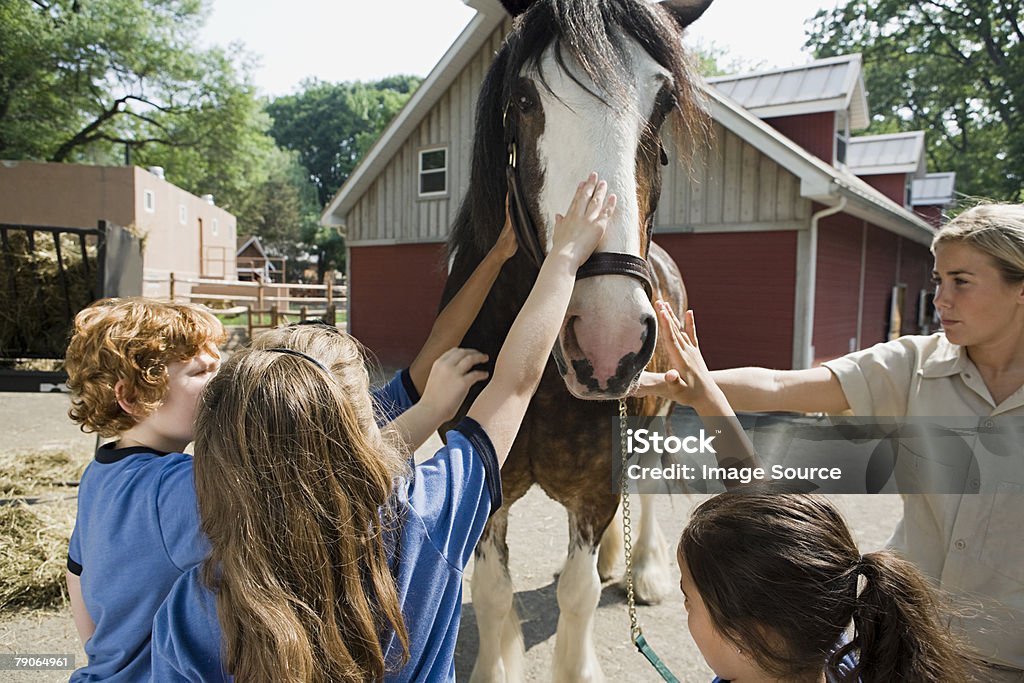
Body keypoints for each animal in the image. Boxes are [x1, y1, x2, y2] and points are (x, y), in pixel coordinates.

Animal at [440, 2, 712, 679]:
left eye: (664, 102)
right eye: (523, 98)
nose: (608, 340)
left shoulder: (596, 487)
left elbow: (579, 594)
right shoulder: (489, 481)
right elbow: (492, 590)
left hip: (653, 422)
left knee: (645, 492)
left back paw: (644, 571)